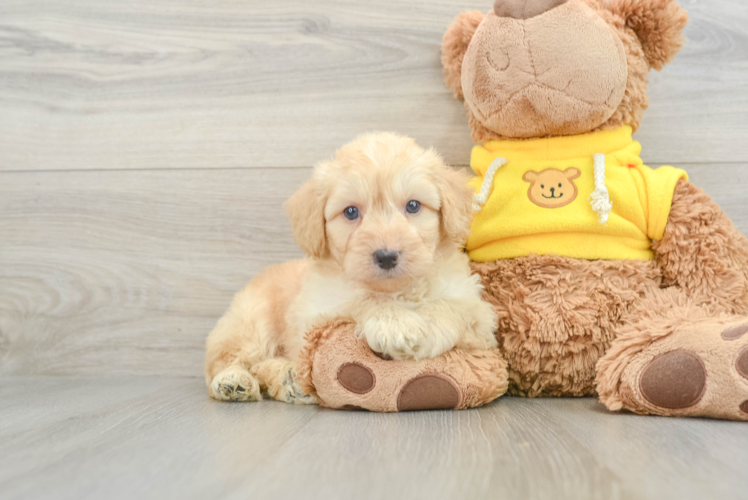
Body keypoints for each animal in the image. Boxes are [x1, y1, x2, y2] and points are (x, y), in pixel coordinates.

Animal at [205, 132, 496, 402]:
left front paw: (429, 329)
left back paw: (288, 380)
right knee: (224, 360)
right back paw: (235, 381)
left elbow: (455, 307)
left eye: (413, 205)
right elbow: (360, 300)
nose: (387, 256)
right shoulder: (315, 315)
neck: (396, 290)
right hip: (251, 321)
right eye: (351, 212)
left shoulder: (481, 316)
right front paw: (394, 324)